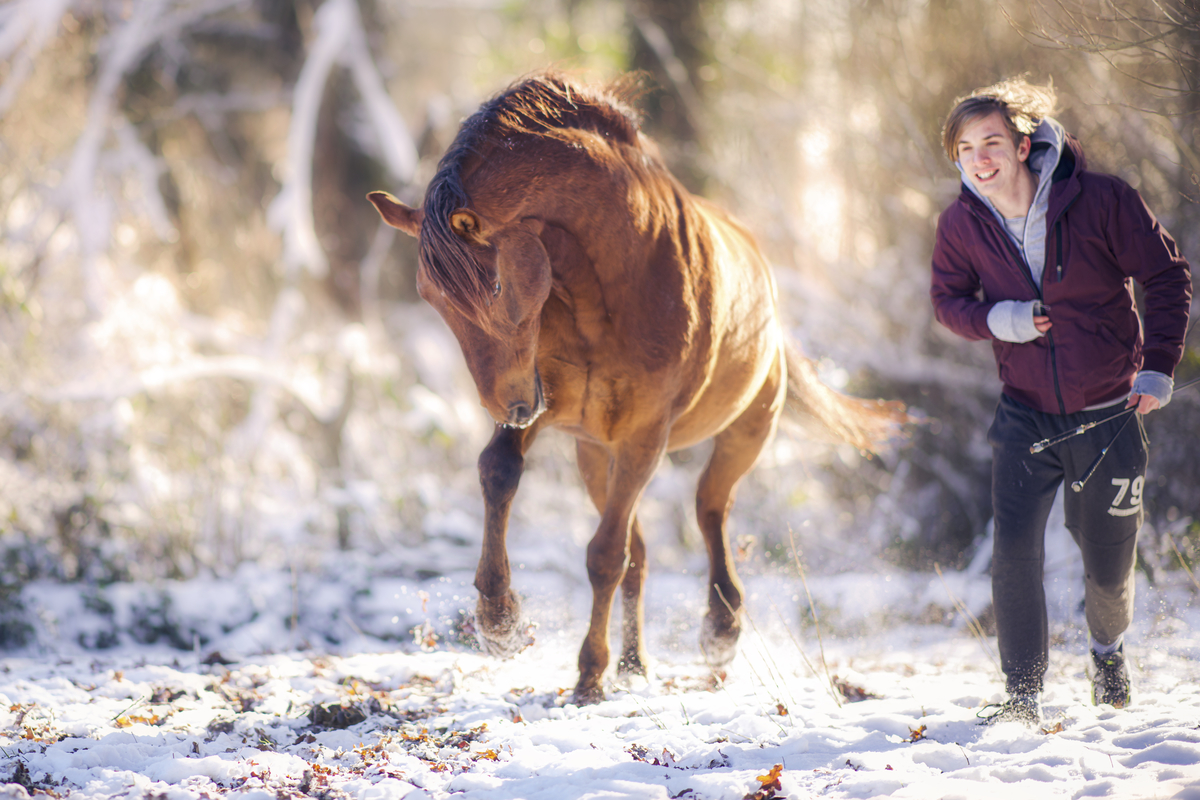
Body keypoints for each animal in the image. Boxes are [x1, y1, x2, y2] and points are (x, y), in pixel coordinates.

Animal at [369, 71, 902, 705]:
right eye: (429, 296)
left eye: (495, 285)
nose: (508, 405)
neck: (608, 280)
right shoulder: (552, 409)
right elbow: (499, 473)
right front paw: (500, 621)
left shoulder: (644, 432)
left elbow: (605, 556)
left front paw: (587, 674)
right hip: (593, 453)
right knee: (642, 553)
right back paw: (633, 662)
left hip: (743, 431)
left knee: (708, 510)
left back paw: (720, 629)